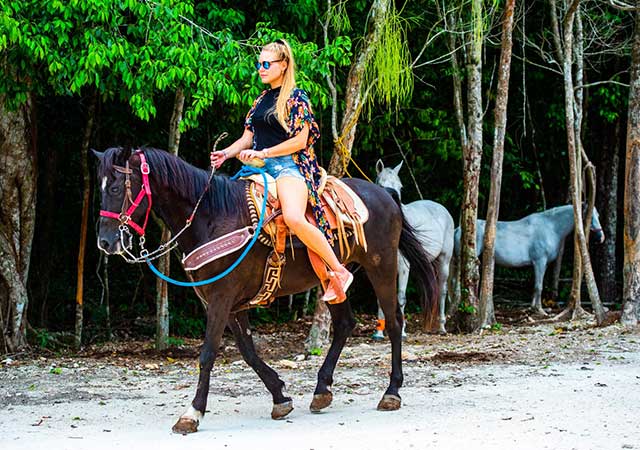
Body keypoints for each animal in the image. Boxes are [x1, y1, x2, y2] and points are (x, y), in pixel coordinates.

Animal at [92, 147, 438, 432]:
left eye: (115, 188)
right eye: (101, 188)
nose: (105, 242)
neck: (212, 216)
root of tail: (386, 194)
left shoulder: (222, 298)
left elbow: (208, 353)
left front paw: (192, 413)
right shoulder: (228, 302)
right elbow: (248, 352)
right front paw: (280, 396)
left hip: (382, 266)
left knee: (393, 322)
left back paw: (391, 392)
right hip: (331, 278)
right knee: (344, 324)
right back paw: (322, 390)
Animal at [372, 160, 452, 336]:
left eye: (400, 187)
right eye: (380, 185)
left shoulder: (403, 266)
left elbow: (401, 297)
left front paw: (401, 331)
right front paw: (379, 332)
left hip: (444, 261)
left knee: (442, 290)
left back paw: (442, 327)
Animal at [450, 205, 604, 314]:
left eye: (598, 215)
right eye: (589, 215)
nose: (601, 237)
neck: (550, 227)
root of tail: (458, 229)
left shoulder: (542, 264)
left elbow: (536, 285)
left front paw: (533, 308)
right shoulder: (539, 262)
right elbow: (538, 286)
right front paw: (540, 310)